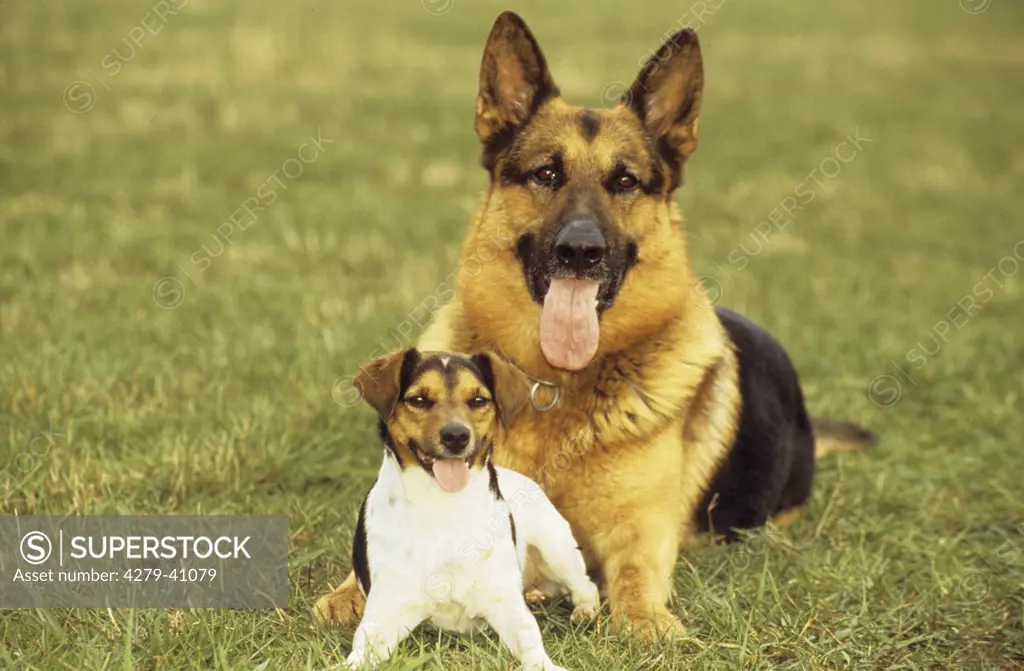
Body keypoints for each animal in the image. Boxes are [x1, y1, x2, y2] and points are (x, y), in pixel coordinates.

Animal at [342, 348, 598, 667]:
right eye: (419, 400)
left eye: (478, 400)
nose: (456, 436)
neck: (444, 505)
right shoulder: (384, 615)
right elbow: (358, 657)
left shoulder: (506, 606)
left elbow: (531, 644)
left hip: (556, 547)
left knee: (587, 585)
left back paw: (584, 609)